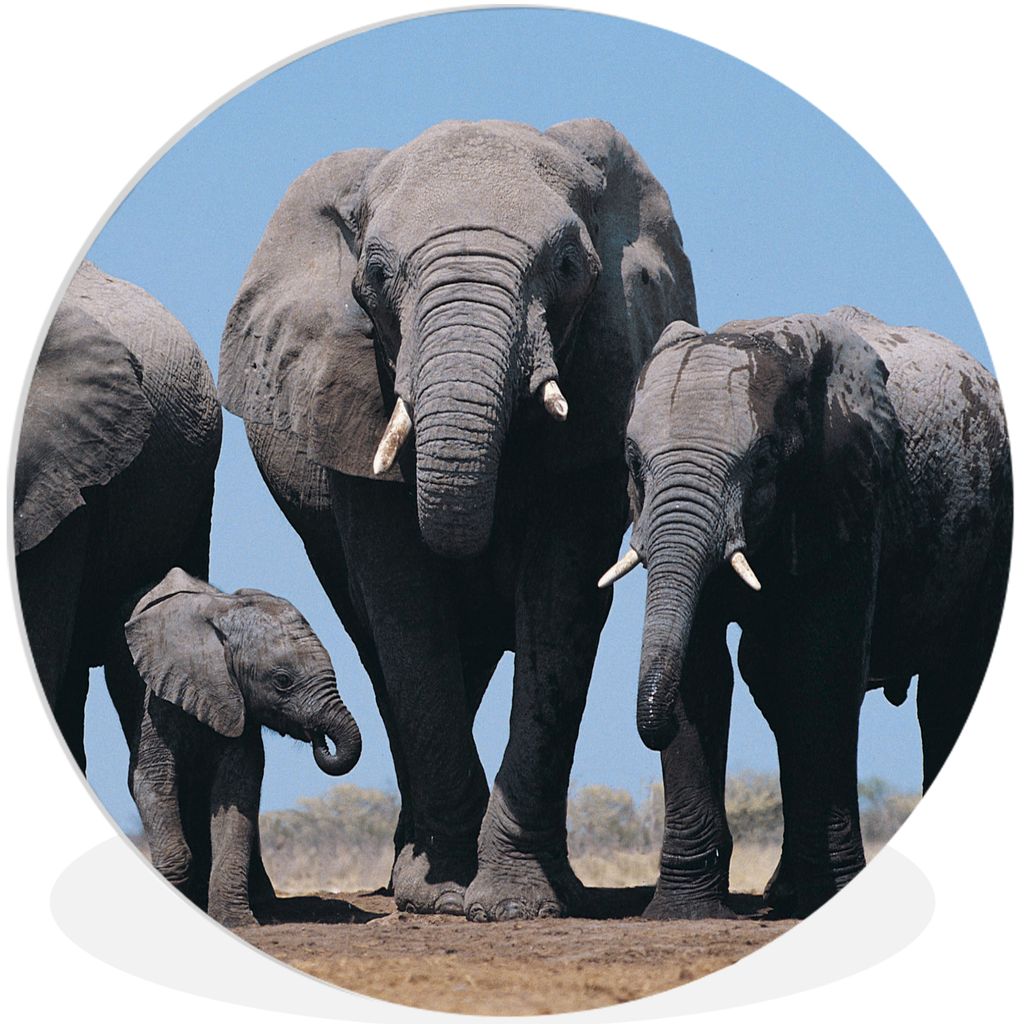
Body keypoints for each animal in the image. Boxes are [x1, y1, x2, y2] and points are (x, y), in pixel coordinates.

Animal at [114, 568, 362, 928]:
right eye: (283, 681)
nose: (319, 738)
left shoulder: (239, 710)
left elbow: (236, 794)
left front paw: (236, 923)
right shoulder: (158, 700)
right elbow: (151, 779)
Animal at [218, 118, 697, 920]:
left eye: (568, 266)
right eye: (376, 275)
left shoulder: (607, 378)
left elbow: (560, 598)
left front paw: (518, 903)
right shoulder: (350, 392)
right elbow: (404, 600)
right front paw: (441, 896)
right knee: (381, 647)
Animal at [599, 306, 1012, 919]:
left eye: (765, 460)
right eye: (632, 462)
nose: (650, 728)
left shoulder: (849, 491)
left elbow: (820, 669)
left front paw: (833, 898)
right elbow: (703, 670)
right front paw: (684, 913)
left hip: (997, 524)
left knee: (949, 688)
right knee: (771, 686)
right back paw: (784, 895)